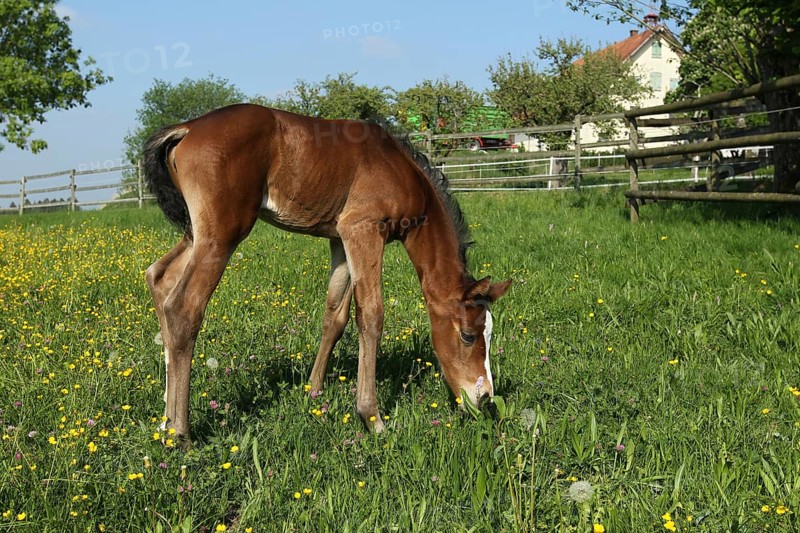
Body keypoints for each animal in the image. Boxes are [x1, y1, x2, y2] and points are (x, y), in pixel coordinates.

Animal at [143, 103, 512, 441]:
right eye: (468, 335)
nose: (484, 398)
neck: (399, 168)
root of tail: (188, 128)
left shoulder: (340, 240)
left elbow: (334, 316)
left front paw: (314, 392)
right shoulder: (364, 230)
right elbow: (371, 315)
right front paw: (372, 417)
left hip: (196, 233)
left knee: (159, 278)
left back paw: (164, 420)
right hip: (222, 235)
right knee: (184, 307)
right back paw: (181, 431)